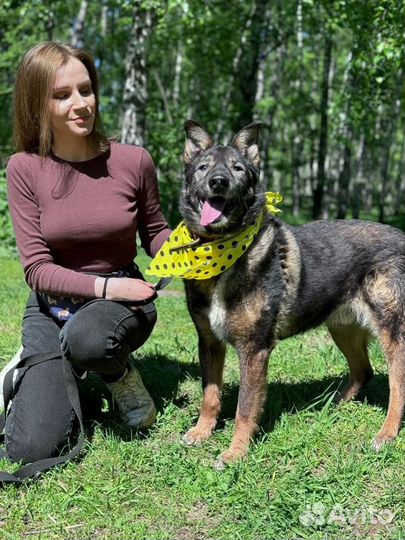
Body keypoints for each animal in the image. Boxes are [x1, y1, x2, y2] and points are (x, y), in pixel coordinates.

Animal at [178, 120, 404, 466]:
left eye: (237, 168)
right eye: (203, 167)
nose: (218, 182)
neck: (222, 251)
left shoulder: (253, 349)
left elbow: (245, 408)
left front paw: (236, 452)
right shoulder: (210, 342)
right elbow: (210, 395)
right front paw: (202, 432)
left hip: (390, 332)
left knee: (397, 383)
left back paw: (387, 433)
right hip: (343, 329)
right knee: (364, 371)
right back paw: (331, 405)